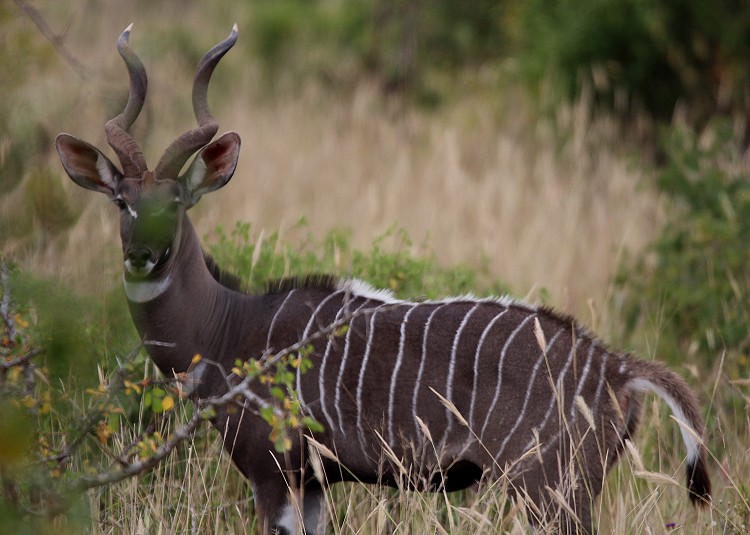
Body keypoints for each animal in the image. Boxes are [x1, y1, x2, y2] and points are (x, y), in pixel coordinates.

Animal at [55, 25, 712, 535]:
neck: (227, 330)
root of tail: (616, 368)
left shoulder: (273, 470)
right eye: (121, 202)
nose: (142, 256)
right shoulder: (311, 482)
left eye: (174, 204)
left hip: (550, 489)